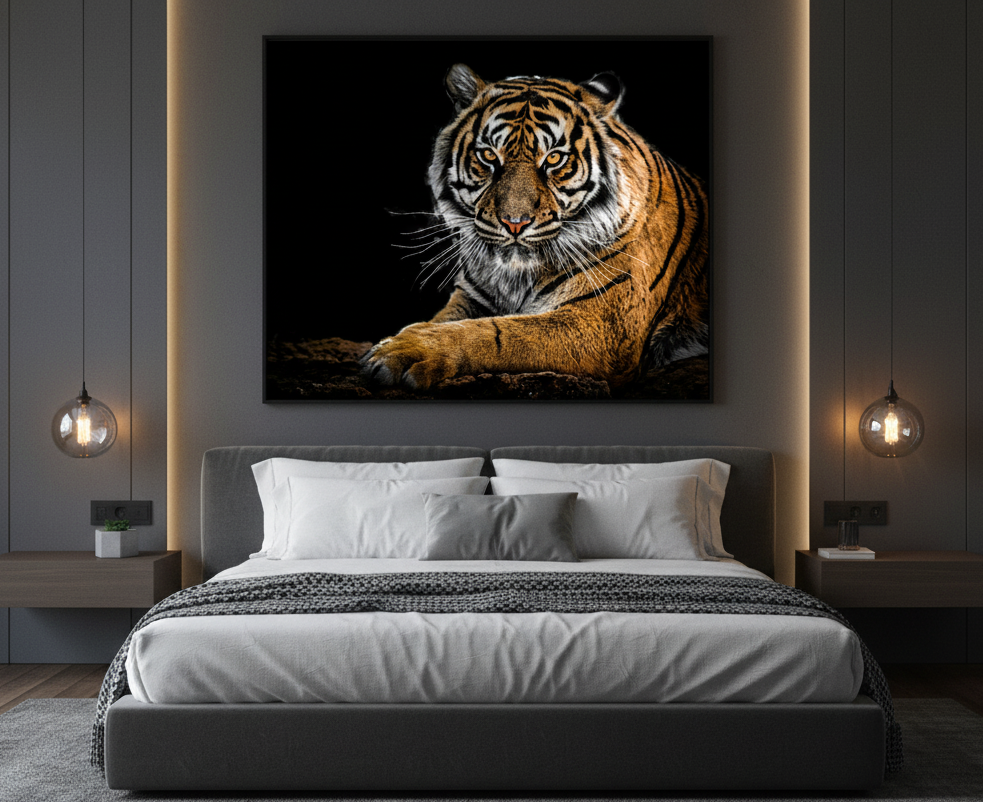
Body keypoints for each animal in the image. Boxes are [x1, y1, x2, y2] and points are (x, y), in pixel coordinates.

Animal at [361, 63, 708, 391]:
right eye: (488, 155)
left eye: (554, 159)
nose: (514, 223)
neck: (515, 276)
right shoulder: (470, 297)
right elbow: (445, 321)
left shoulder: (601, 325)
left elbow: (498, 334)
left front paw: (404, 351)